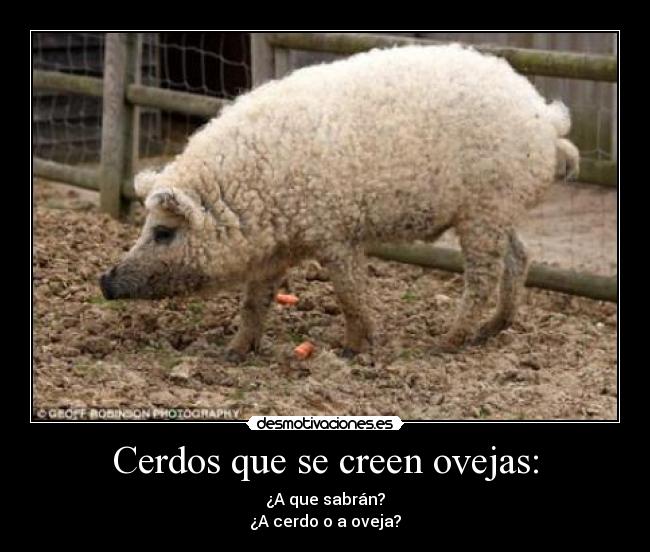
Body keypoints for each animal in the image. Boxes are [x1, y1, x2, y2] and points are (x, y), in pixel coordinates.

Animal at [99, 44, 579, 360]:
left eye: (163, 232)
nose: (105, 281)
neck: (255, 193)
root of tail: (547, 117)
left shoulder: (335, 232)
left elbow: (350, 292)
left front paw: (352, 350)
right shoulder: (278, 250)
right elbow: (254, 300)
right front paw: (232, 353)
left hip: (485, 210)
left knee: (482, 277)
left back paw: (444, 344)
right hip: (501, 210)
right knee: (520, 256)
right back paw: (490, 332)